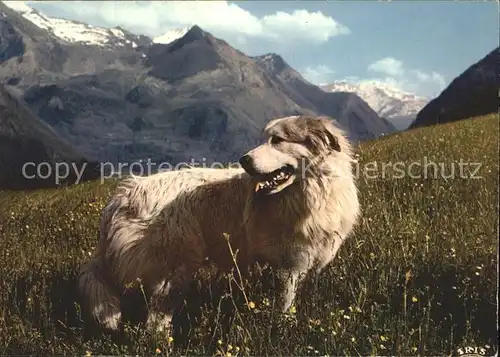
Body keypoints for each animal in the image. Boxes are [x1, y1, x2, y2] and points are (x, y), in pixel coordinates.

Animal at [77, 115, 360, 332]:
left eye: (277, 140)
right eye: (264, 139)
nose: (243, 159)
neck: (315, 190)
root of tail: (122, 196)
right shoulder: (289, 266)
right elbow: (285, 303)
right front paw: (283, 328)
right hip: (175, 267)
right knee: (155, 321)